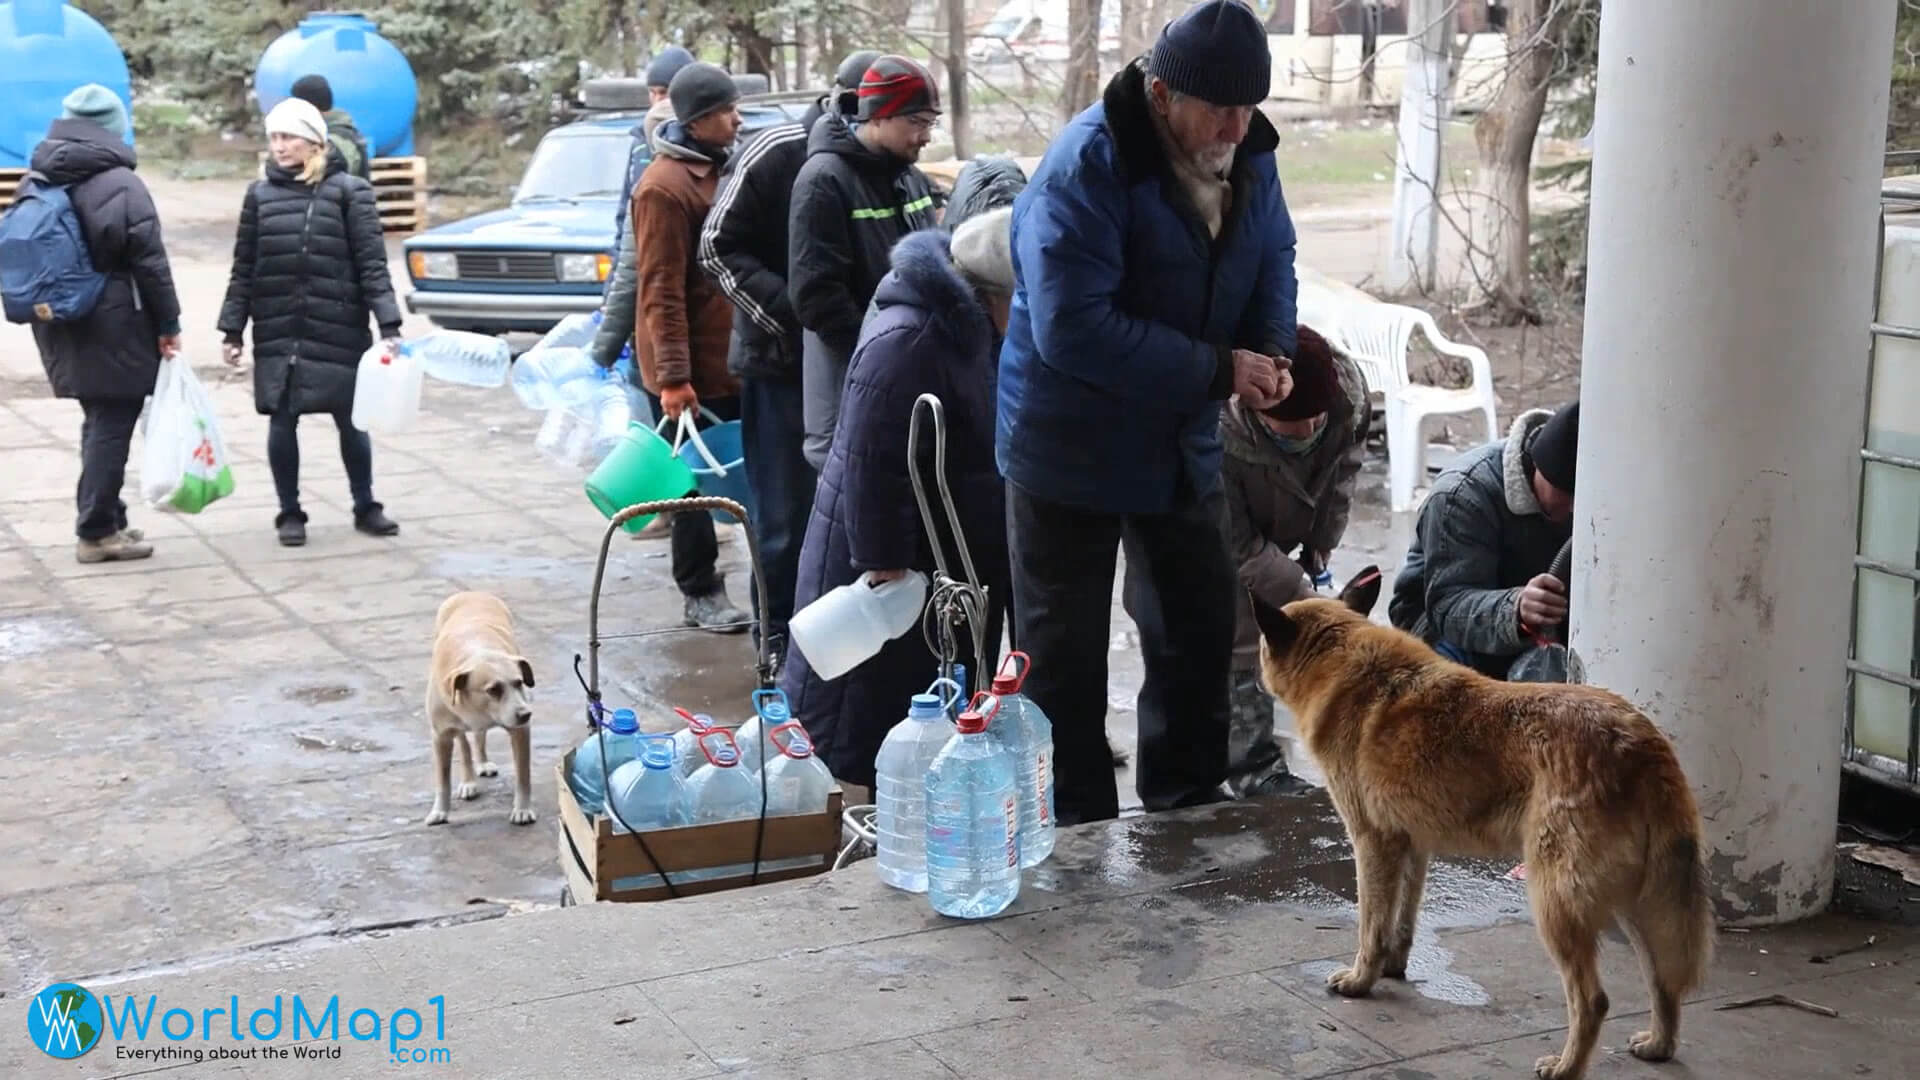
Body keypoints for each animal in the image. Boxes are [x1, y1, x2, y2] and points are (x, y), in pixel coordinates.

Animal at [424, 588, 537, 822]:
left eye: (519, 683)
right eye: (493, 689)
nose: (525, 714)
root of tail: (471, 592)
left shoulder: (520, 731)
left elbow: (523, 776)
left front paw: (522, 809)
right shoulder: (440, 735)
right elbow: (442, 780)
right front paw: (439, 811)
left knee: (479, 736)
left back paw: (483, 763)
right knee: (465, 744)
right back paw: (469, 781)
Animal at [1251, 568, 1720, 1068]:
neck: (1345, 664)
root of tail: (1640, 743)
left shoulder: (1371, 844)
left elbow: (1371, 927)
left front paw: (1362, 979)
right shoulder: (1411, 847)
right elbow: (1402, 921)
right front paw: (1392, 968)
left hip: (1555, 903)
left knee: (1593, 1001)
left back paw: (1565, 1067)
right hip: (1635, 904)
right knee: (1663, 980)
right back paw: (1658, 1045)